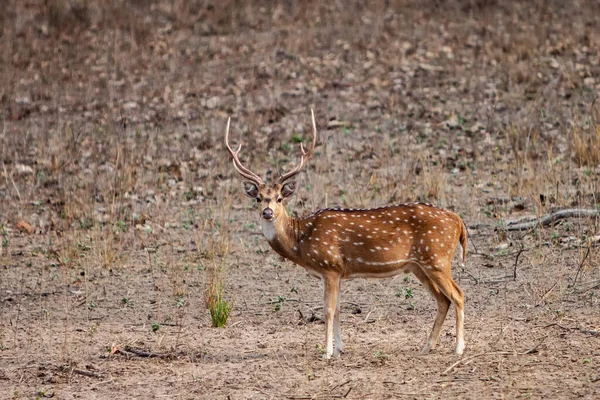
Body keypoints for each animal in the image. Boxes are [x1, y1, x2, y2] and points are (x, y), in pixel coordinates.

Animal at [225, 109, 468, 360]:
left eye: (280, 198)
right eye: (258, 198)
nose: (267, 212)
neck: (302, 241)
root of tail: (458, 221)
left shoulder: (330, 266)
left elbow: (328, 310)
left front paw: (326, 352)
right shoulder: (338, 272)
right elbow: (340, 309)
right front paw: (340, 349)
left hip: (438, 258)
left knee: (458, 295)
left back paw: (459, 348)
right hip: (419, 266)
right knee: (443, 300)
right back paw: (427, 346)